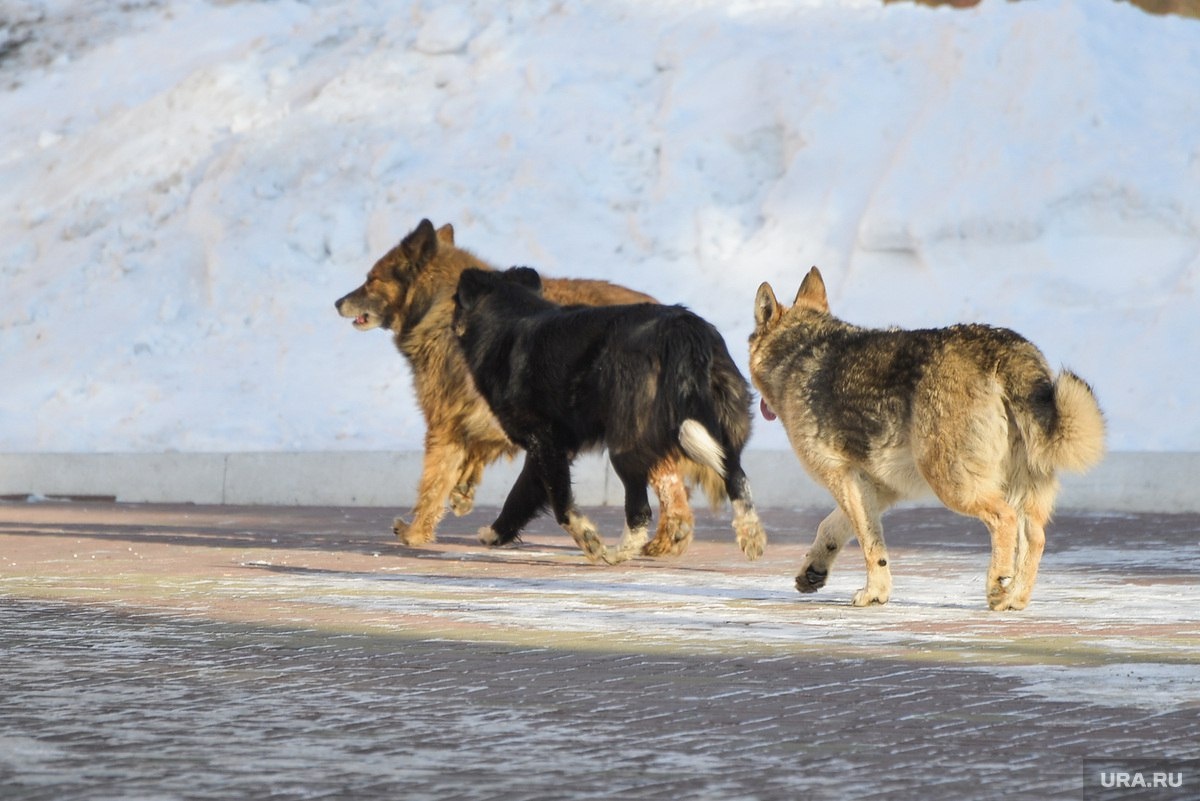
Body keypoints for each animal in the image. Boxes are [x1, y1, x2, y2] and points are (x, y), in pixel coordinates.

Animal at [335, 218, 714, 554]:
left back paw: (665, 538)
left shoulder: (447, 425)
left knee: (671, 486)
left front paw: (416, 531)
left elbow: (433, 482)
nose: (338, 302)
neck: (438, 306)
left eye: (370, 280)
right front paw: (464, 492)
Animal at [451, 266, 767, 565]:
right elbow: (522, 495)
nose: (450, 325)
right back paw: (751, 536)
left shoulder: (544, 442)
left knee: (640, 511)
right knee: (737, 477)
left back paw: (617, 554)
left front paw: (587, 538)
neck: (510, 318)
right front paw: (497, 533)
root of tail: (682, 331)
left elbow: (557, 502)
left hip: (626, 445)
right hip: (718, 427)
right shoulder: (552, 446)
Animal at [748, 267, 1105, 610]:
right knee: (1036, 536)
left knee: (1004, 518)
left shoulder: (843, 477)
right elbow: (832, 527)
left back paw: (996, 585)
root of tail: (1008, 350)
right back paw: (1013, 598)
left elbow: (869, 542)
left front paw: (874, 593)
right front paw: (814, 571)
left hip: (952, 485)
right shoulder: (877, 487)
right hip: (1016, 489)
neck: (800, 352)